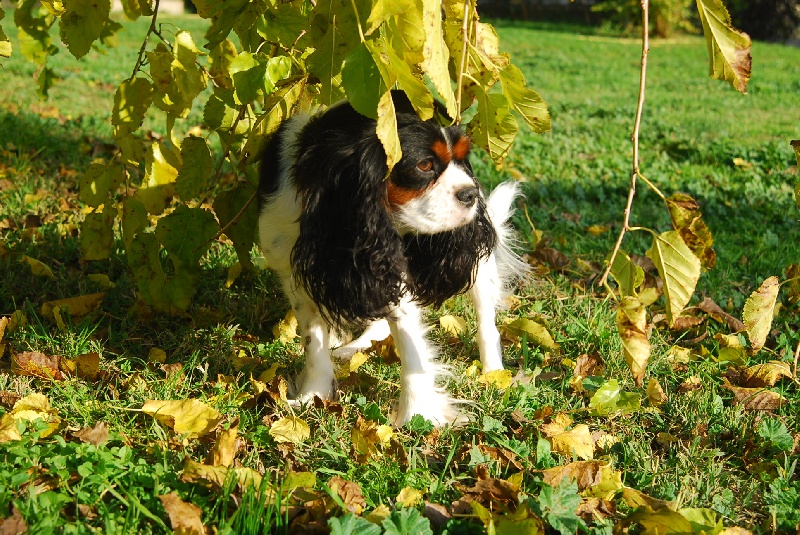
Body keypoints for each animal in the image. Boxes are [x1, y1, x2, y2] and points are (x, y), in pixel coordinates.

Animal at [258, 92, 524, 428]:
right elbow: (312, 338)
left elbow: (411, 347)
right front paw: (313, 394)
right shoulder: (295, 270)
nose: (471, 193)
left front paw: (418, 414)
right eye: (424, 165)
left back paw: (493, 373)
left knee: (485, 317)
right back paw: (353, 348)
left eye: (462, 159)